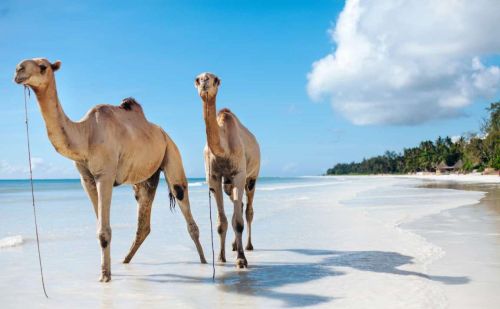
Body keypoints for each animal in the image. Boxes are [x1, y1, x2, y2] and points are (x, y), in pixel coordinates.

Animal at [13, 57, 206, 282]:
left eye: (43, 67)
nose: (18, 69)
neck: (85, 135)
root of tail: (164, 133)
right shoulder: (86, 179)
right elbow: (100, 225)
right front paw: (107, 271)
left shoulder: (104, 175)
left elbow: (103, 230)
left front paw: (105, 277)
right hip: (145, 178)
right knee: (143, 221)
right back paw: (125, 260)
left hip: (172, 153)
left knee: (183, 201)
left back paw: (205, 262)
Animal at [193, 72, 260, 268]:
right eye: (197, 79)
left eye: (214, 79)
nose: (204, 81)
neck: (223, 150)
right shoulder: (214, 178)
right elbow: (221, 222)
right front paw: (220, 257)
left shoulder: (239, 175)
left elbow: (237, 221)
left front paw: (241, 260)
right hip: (228, 184)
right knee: (239, 206)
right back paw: (233, 245)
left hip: (252, 177)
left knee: (248, 210)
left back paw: (248, 246)